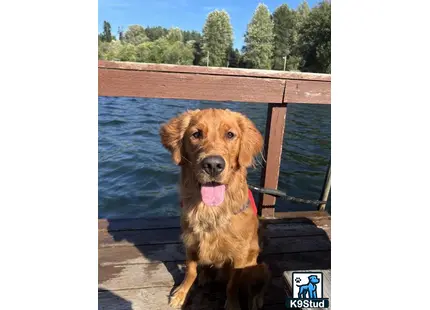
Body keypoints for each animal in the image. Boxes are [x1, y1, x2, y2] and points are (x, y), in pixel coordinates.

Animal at [160, 108, 270, 308]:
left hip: (259, 267)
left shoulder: (239, 253)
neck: (211, 210)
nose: (213, 165)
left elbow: (233, 284)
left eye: (230, 134)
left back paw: (257, 299)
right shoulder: (190, 242)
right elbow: (190, 272)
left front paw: (233, 304)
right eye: (196, 134)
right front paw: (181, 294)